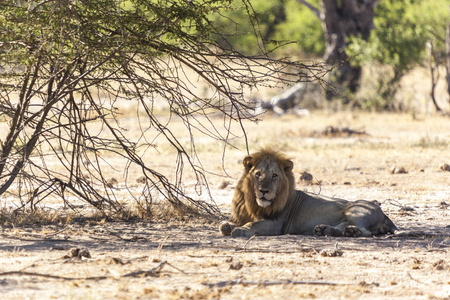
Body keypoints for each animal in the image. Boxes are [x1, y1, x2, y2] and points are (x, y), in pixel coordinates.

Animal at [219, 149, 398, 238]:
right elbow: (226, 224)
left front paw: (241, 230)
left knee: (365, 232)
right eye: (258, 174)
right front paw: (228, 225)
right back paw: (324, 230)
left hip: (354, 210)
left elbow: (254, 224)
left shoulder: (277, 223)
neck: (254, 203)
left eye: (274, 176)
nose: (264, 191)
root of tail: (384, 215)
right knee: (342, 227)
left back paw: (351, 232)